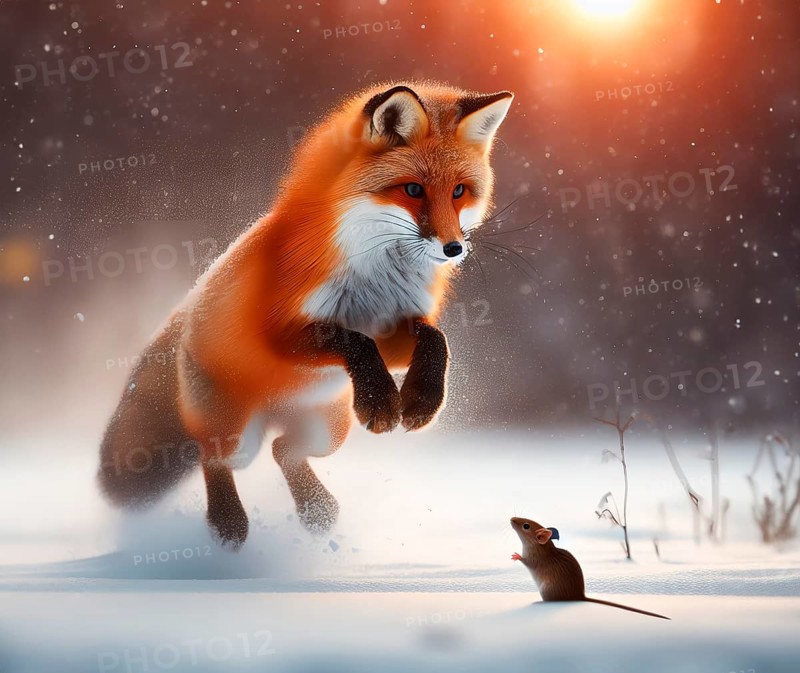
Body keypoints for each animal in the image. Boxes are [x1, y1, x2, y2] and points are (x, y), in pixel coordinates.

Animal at [98, 81, 514, 549]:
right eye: (412, 190)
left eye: (460, 191)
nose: (453, 248)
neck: (376, 277)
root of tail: (186, 310)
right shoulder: (282, 334)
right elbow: (352, 338)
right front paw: (381, 397)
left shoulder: (394, 330)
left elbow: (434, 338)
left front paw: (422, 399)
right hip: (237, 436)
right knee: (214, 458)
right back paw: (227, 525)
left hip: (329, 429)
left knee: (284, 450)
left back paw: (317, 511)